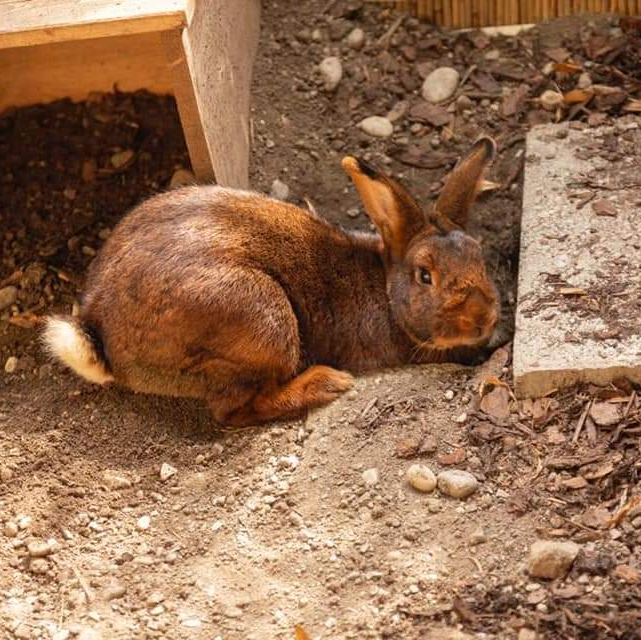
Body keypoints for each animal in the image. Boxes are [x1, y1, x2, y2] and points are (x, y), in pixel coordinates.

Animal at [43, 137, 500, 426]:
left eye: (480, 256)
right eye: (425, 275)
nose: (483, 318)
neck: (387, 296)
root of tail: (102, 339)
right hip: (263, 321)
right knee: (233, 412)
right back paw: (326, 383)